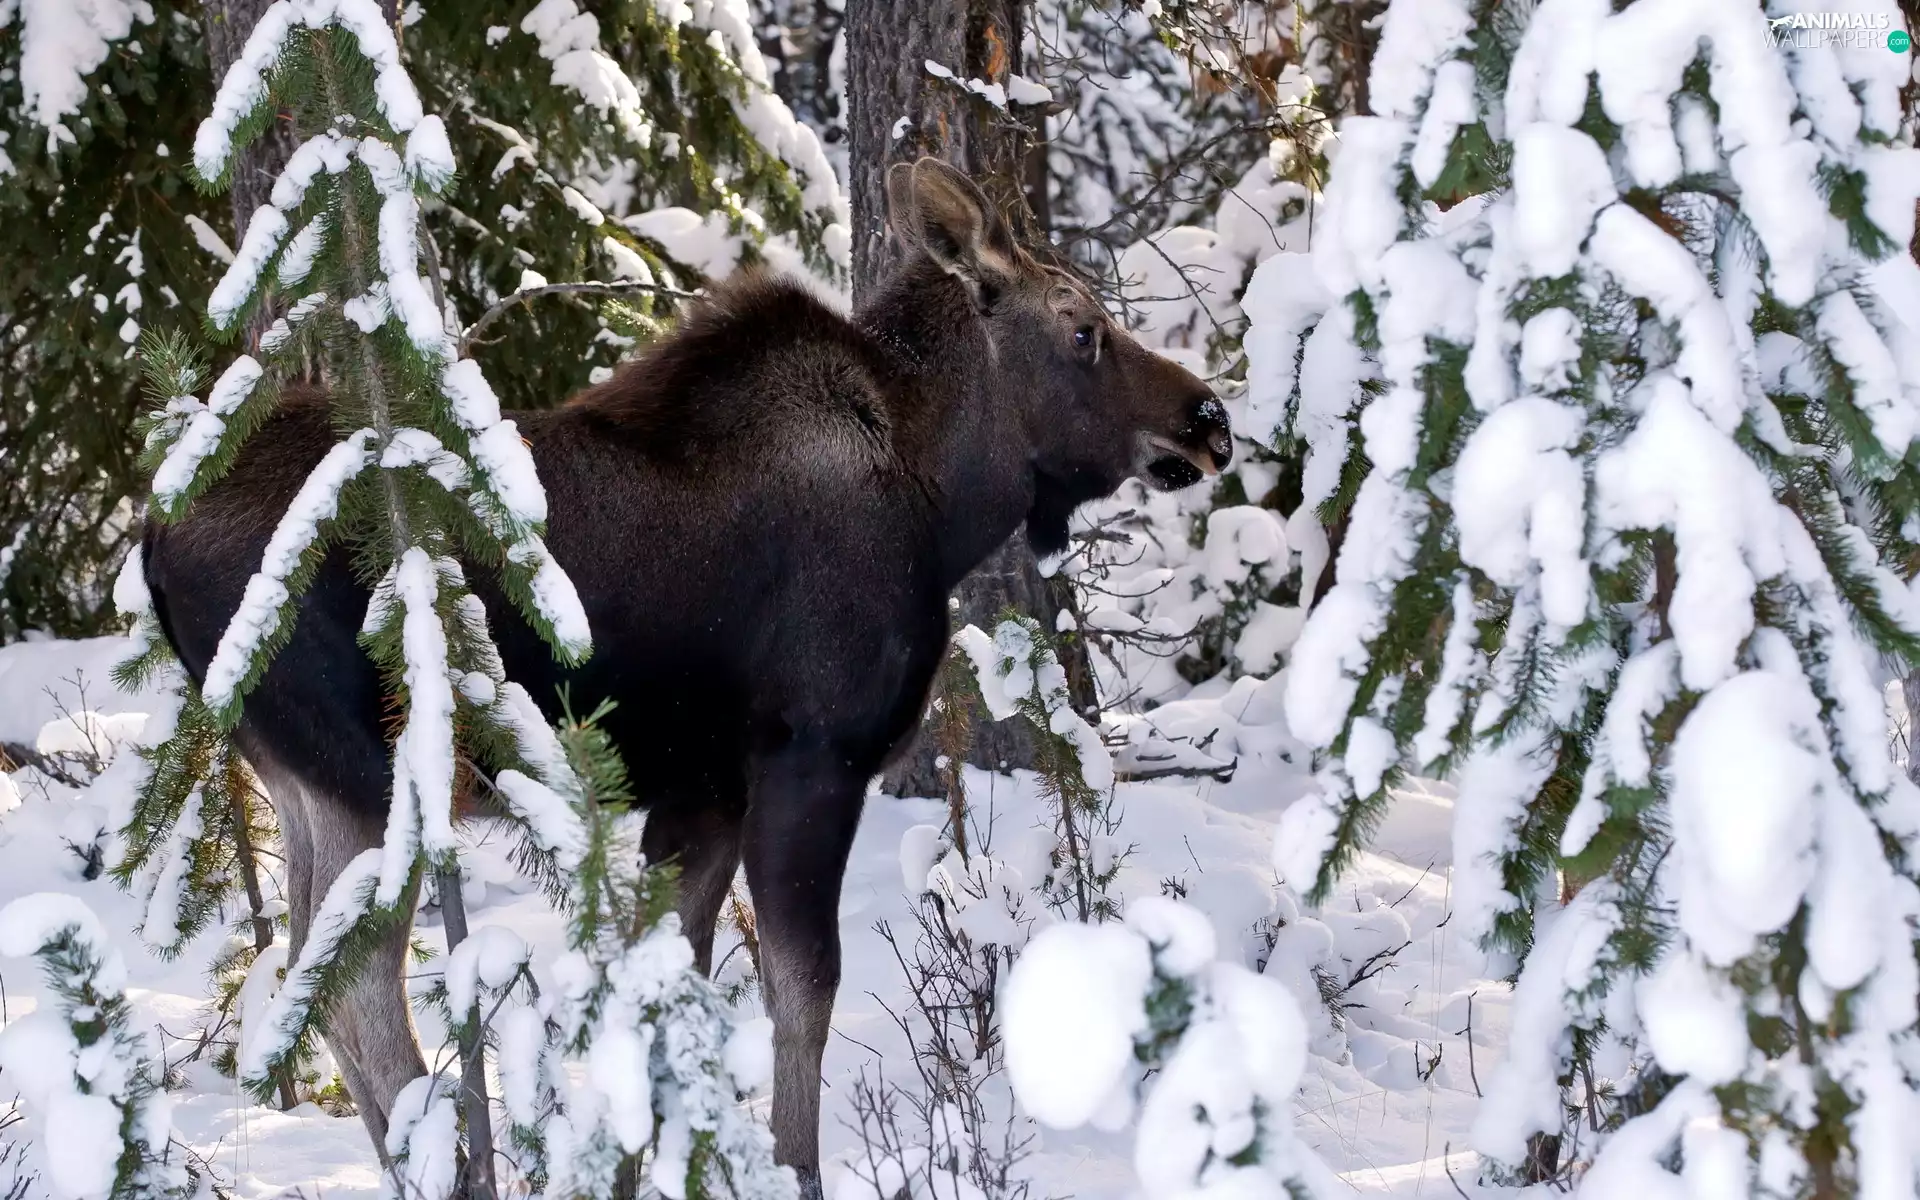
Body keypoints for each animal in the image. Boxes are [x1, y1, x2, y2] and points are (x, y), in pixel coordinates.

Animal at [142, 158, 1233, 1196]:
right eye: (1083, 328)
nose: (1210, 418)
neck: (944, 505)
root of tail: (151, 541)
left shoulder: (700, 794)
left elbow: (669, 991)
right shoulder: (812, 758)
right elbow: (802, 986)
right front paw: (793, 1167)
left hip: (299, 776)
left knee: (304, 978)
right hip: (373, 770)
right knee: (358, 986)